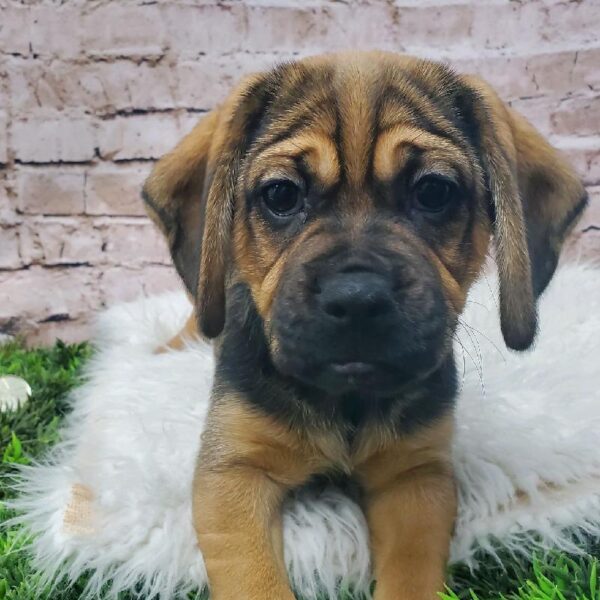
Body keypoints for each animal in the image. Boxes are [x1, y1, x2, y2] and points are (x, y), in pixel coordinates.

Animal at [142, 52, 584, 600]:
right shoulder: (233, 473)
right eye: (281, 195)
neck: (346, 402)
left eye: (434, 191)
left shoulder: (416, 478)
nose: (356, 300)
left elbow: (411, 575)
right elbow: (255, 579)